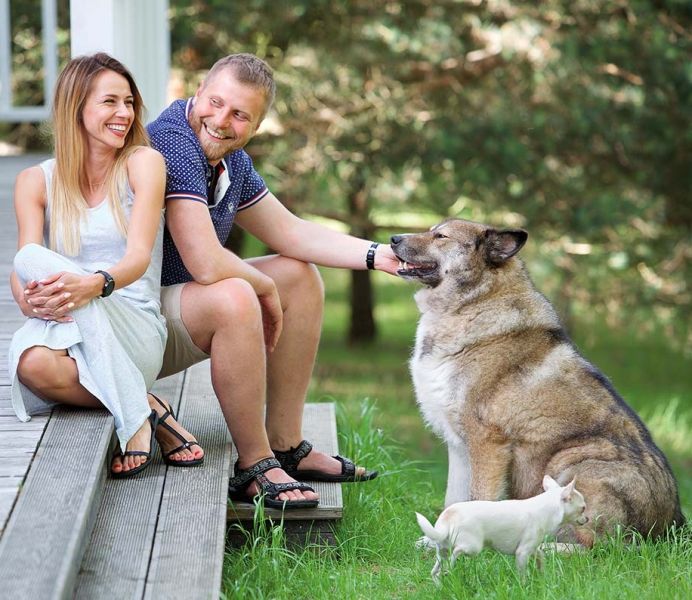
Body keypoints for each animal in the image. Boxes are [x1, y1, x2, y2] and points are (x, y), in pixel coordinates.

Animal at [392, 219, 684, 544]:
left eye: (440, 236)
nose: (393, 239)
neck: (475, 302)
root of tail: (669, 526)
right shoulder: (459, 446)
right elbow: (452, 500)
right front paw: (437, 543)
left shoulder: (487, 441)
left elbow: (477, 497)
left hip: (567, 463)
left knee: (595, 545)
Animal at [418, 476, 588, 580]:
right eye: (583, 509)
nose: (587, 519)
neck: (546, 508)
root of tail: (449, 515)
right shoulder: (522, 552)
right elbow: (522, 573)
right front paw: (524, 585)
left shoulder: (532, 548)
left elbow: (540, 556)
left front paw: (542, 574)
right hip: (472, 547)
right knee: (456, 552)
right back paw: (451, 568)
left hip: (442, 550)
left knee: (436, 571)